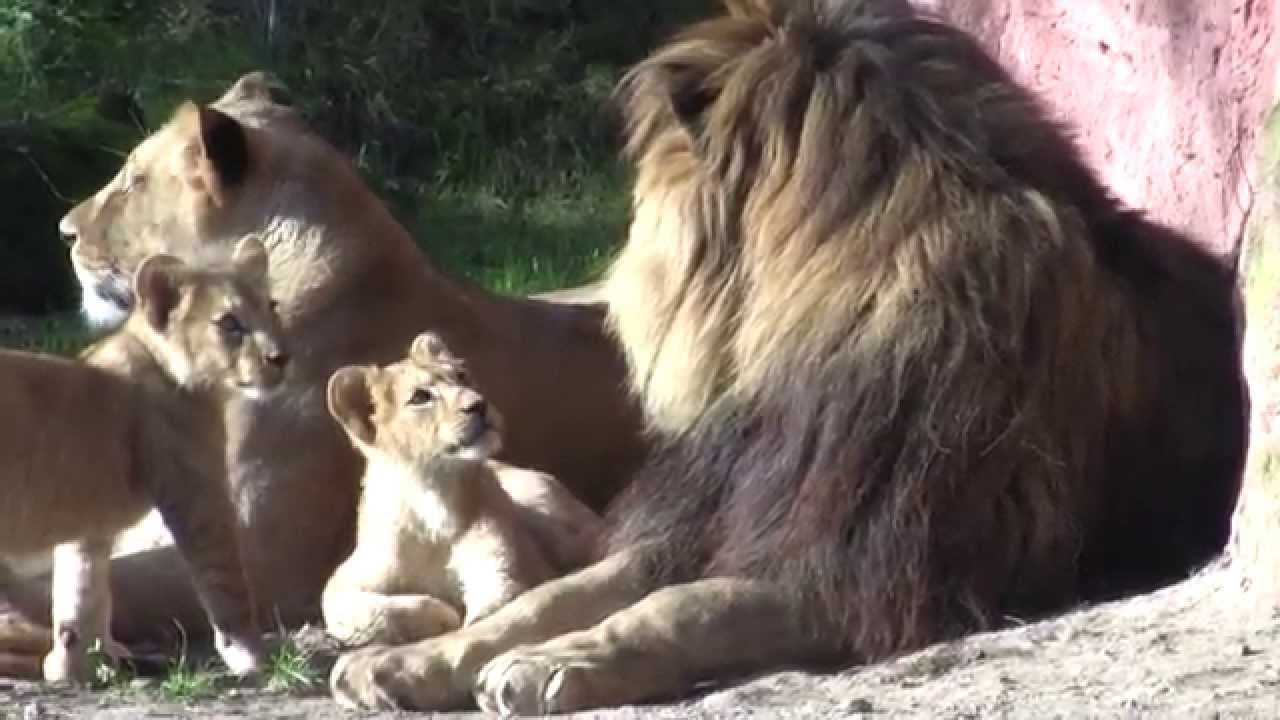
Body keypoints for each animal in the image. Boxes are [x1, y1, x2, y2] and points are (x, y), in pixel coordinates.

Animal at [0, 237, 284, 683]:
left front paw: (76, 669)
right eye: (229, 324)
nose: (280, 358)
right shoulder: (199, 500)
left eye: (273, 307)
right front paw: (253, 658)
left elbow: (82, 597)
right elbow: (228, 586)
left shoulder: (88, 528)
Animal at [322, 333, 602, 647]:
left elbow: (497, 605)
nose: (479, 404)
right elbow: (352, 609)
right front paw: (441, 616)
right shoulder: (349, 577)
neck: (433, 494)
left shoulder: (503, 565)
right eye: (420, 397)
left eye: (462, 376)